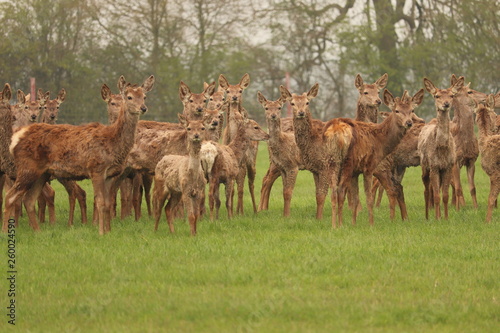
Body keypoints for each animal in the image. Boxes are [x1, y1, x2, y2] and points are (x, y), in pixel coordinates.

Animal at [1, 74, 154, 233]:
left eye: (144, 96)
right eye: (129, 97)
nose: (143, 108)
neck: (113, 141)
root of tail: (16, 137)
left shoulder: (110, 174)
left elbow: (107, 202)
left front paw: (108, 231)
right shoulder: (96, 169)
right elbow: (100, 202)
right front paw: (100, 232)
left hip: (42, 173)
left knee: (29, 199)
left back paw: (38, 231)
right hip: (27, 168)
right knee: (10, 197)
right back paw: (6, 231)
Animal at [416, 76, 462, 219]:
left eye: (452, 95)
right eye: (437, 96)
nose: (446, 104)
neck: (441, 147)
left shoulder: (447, 166)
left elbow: (445, 195)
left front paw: (446, 218)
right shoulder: (434, 166)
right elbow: (436, 196)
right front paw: (437, 218)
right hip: (424, 166)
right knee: (426, 190)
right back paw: (427, 216)